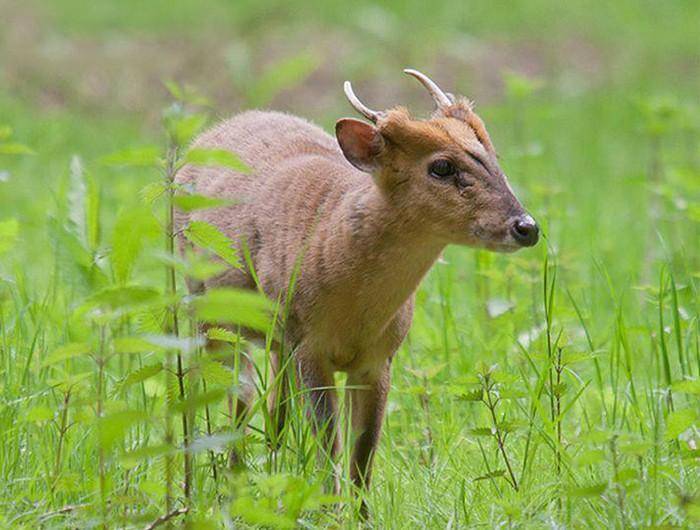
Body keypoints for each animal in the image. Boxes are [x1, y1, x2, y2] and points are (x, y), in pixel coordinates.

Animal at [175, 68, 536, 510]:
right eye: (441, 167)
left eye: (493, 157)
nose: (527, 227)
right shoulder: (310, 346)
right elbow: (328, 444)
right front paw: (329, 510)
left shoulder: (378, 358)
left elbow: (363, 454)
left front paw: (360, 514)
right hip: (205, 308)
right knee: (219, 399)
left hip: (276, 339)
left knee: (272, 413)